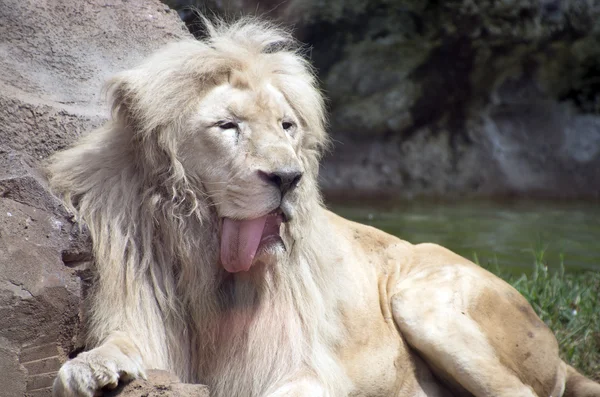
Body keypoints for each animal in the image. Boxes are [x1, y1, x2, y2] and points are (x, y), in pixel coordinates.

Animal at [48, 17, 600, 396]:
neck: (209, 260)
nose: (288, 178)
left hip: (422, 298)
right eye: (228, 126)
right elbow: (114, 346)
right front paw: (90, 369)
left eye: (287, 125)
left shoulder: (303, 367)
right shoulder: (140, 305)